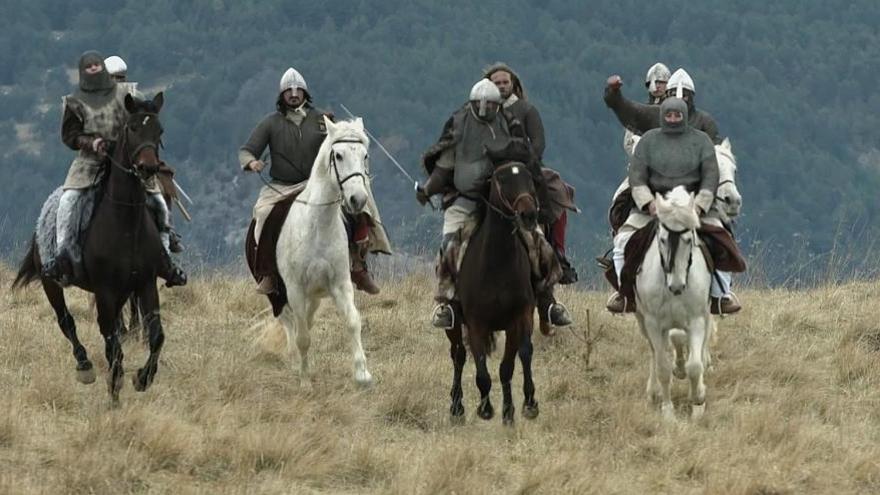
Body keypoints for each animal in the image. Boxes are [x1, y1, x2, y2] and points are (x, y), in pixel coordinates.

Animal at [13, 92, 171, 404]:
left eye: (158, 131)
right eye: (132, 127)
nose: (148, 169)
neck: (126, 223)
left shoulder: (145, 283)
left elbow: (156, 335)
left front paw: (142, 378)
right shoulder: (105, 291)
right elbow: (111, 342)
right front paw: (115, 391)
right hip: (52, 283)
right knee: (66, 322)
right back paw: (84, 365)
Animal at [450, 163, 540, 426]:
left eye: (529, 178)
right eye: (502, 180)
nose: (529, 215)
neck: (498, 264)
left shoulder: (519, 318)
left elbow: (515, 360)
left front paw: (521, 407)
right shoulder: (476, 323)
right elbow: (481, 369)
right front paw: (486, 409)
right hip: (454, 323)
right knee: (458, 355)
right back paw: (456, 407)